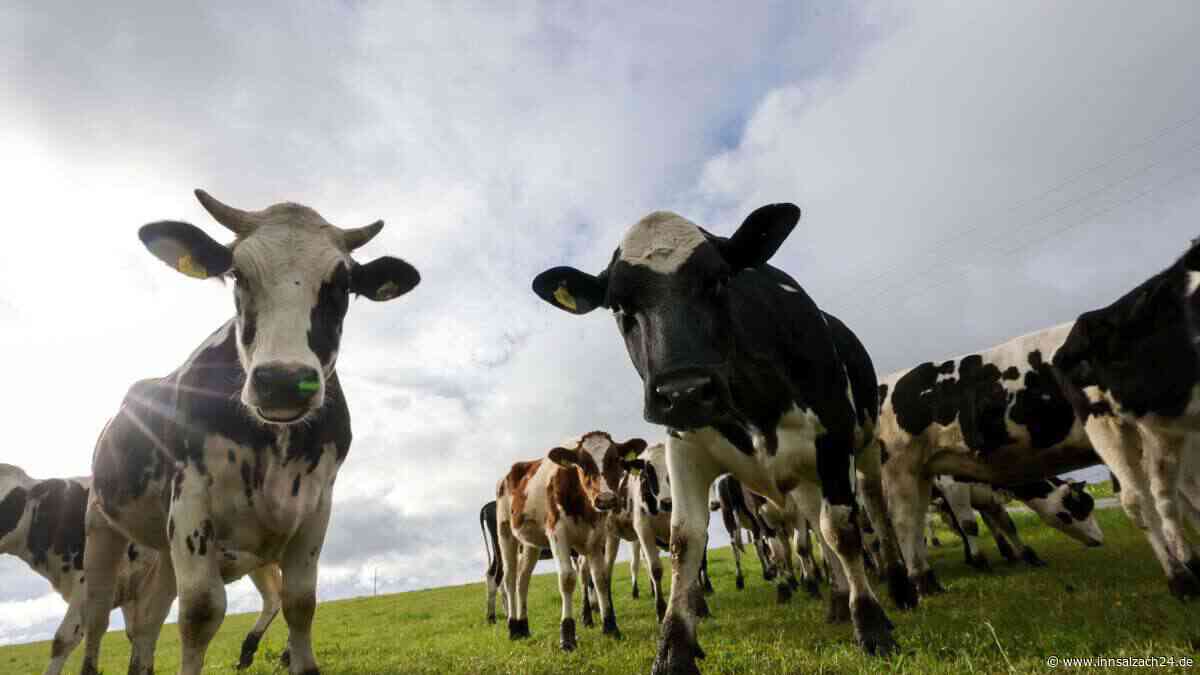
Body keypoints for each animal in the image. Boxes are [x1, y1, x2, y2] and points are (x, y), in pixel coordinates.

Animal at [0, 464, 284, 675]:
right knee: (273, 599)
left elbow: (62, 640)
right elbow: (135, 633)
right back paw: (250, 654)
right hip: (261, 562)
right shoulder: (129, 591)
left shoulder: (86, 584)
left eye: (10, 499)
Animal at [81, 190, 420, 675]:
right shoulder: (191, 501)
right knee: (94, 617)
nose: (283, 380)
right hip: (101, 527)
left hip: (163, 549)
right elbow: (201, 611)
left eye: (342, 285)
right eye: (238, 274)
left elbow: (300, 602)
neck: (276, 444)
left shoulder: (317, 506)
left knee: (146, 623)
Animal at [495, 432, 647, 651]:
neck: (582, 503)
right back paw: (513, 627)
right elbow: (567, 579)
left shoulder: (596, 538)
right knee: (509, 579)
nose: (605, 499)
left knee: (523, 580)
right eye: (582, 464)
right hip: (505, 532)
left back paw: (523, 626)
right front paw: (567, 637)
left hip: (531, 544)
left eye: (616, 460)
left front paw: (610, 627)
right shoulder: (557, 533)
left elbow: (600, 579)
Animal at [533, 204, 914, 672]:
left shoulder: (833, 436)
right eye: (619, 306)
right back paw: (838, 601)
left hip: (863, 448)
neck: (752, 405)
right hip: (803, 478)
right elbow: (685, 541)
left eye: (717, 280)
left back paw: (901, 587)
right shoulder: (685, 446)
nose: (684, 391)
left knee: (871, 506)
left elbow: (842, 529)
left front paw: (873, 627)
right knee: (814, 525)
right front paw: (674, 649)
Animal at [930, 475, 1102, 571]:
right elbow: (969, 525)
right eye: (1081, 508)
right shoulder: (952, 486)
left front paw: (1029, 556)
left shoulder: (988, 495)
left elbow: (1007, 524)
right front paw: (979, 561)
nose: (1100, 539)